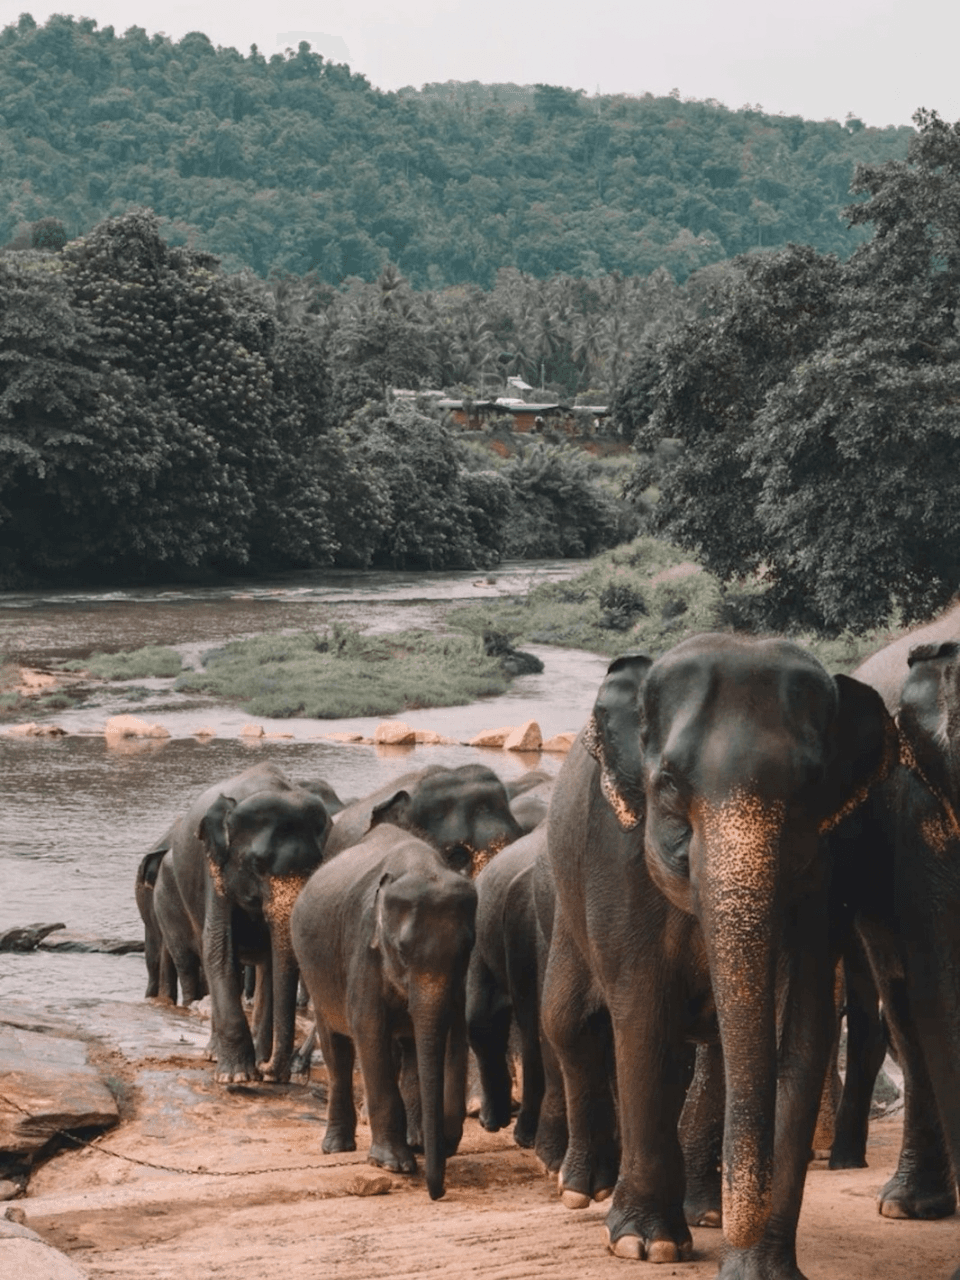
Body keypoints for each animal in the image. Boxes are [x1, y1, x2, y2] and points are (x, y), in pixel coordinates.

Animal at [165, 762, 332, 1084]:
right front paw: (238, 1077)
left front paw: (261, 1072)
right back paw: (215, 1054)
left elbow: (273, 961)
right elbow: (219, 949)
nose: (268, 1068)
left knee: (266, 964)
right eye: (258, 865)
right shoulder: (214, 869)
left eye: (316, 865)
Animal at [291, 824, 478, 1201]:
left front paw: (434, 1143)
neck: (422, 866)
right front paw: (394, 1164)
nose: (437, 1193)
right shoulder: (364, 948)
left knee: (408, 1049)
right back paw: (337, 1147)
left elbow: (452, 1032)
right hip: (316, 972)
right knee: (337, 1049)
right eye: (402, 951)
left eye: (467, 948)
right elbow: (369, 1030)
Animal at [540, 634, 894, 1275]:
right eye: (669, 783)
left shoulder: (827, 875)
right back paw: (582, 1188)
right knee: (570, 1022)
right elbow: (643, 1019)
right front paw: (647, 1245)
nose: (738, 1227)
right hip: (566, 893)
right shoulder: (615, 855)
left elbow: (802, 1033)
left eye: (809, 789)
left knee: (716, 1058)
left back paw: (703, 1210)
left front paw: (763, 1266)